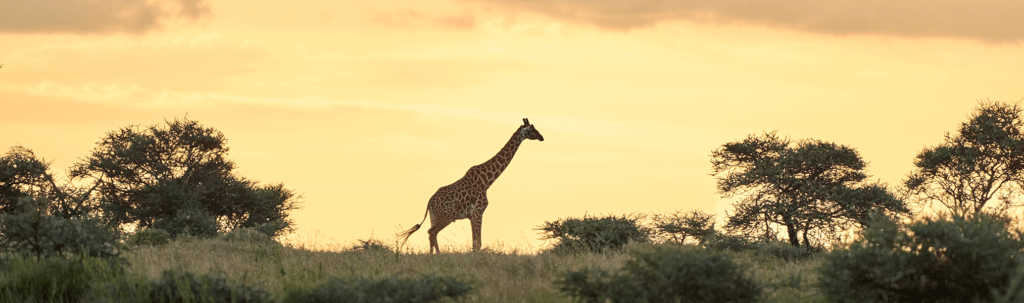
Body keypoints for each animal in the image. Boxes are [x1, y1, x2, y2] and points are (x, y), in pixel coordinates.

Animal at [397, 118, 544, 252]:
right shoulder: (478, 212)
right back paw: (437, 255)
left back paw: (433, 254)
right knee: (432, 232)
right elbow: (477, 243)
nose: (542, 137)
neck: (487, 181)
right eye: (532, 130)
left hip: (434, 217)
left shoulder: (472, 215)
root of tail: (429, 202)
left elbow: (476, 243)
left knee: (431, 234)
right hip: (446, 217)